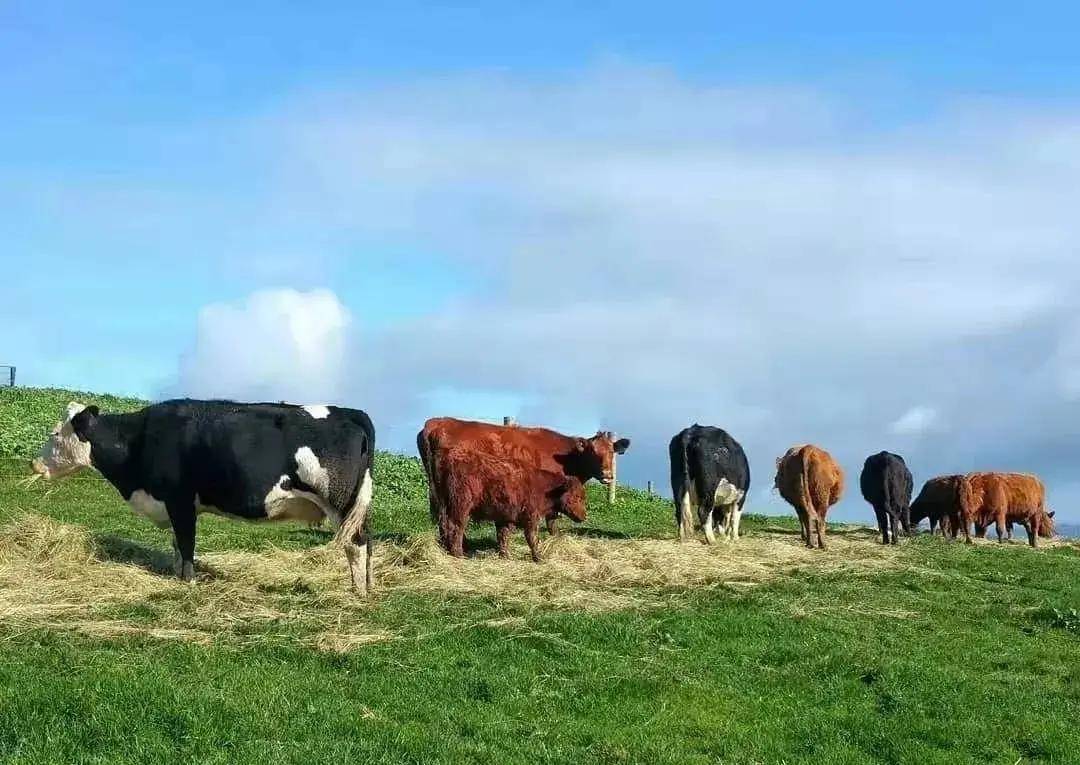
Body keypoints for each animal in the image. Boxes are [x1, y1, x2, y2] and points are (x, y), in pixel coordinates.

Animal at [31, 397, 378, 596]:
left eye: (55, 434)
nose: (33, 463)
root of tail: (349, 412)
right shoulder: (175, 505)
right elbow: (176, 543)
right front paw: (176, 576)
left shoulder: (180, 500)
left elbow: (186, 543)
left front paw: (189, 582)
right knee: (367, 541)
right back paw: (366, 587)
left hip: (341, 502)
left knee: (356, 544)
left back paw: (358, 592)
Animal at [434, 447, 587, 561]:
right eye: (577, 497)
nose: (584, 516)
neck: (544, 487)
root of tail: (449, 457)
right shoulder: (531, 517)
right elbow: (532, 538)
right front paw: (538, 557)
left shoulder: (505, 517)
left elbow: (503, 536)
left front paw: (505, 555)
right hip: (461, 507)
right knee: (456, 527)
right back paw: (458, 554)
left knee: (444, 525)